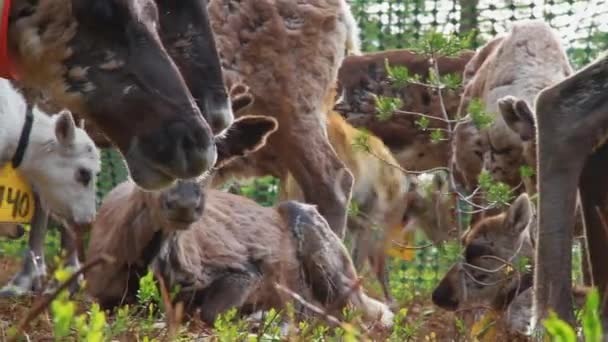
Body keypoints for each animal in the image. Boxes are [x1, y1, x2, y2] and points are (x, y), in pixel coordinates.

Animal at [86, 115, 394, 328]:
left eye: (214, 161)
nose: (185, 203)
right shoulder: (93, 292)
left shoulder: (242, 271)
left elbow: (207, 313)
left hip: (327, 254)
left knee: (367, 313)